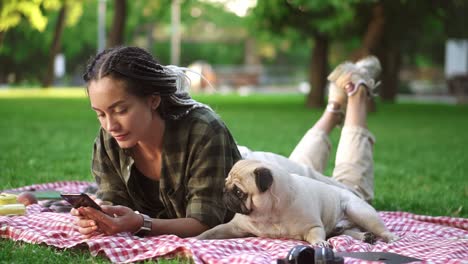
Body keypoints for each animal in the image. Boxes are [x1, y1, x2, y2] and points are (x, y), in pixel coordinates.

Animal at [197, 159, 398, 248]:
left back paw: (390, 238)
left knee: (379, 228)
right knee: (344, 232)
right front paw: (196, 239)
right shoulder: (234, 228)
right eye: (225, 184)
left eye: (239, 192)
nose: (224, 192)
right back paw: (364, 237)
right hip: (343, 226)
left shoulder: (313, 227)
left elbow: (316, 235)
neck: (268, 214)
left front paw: (320, 244)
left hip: (359, 211)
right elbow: (212, 232)